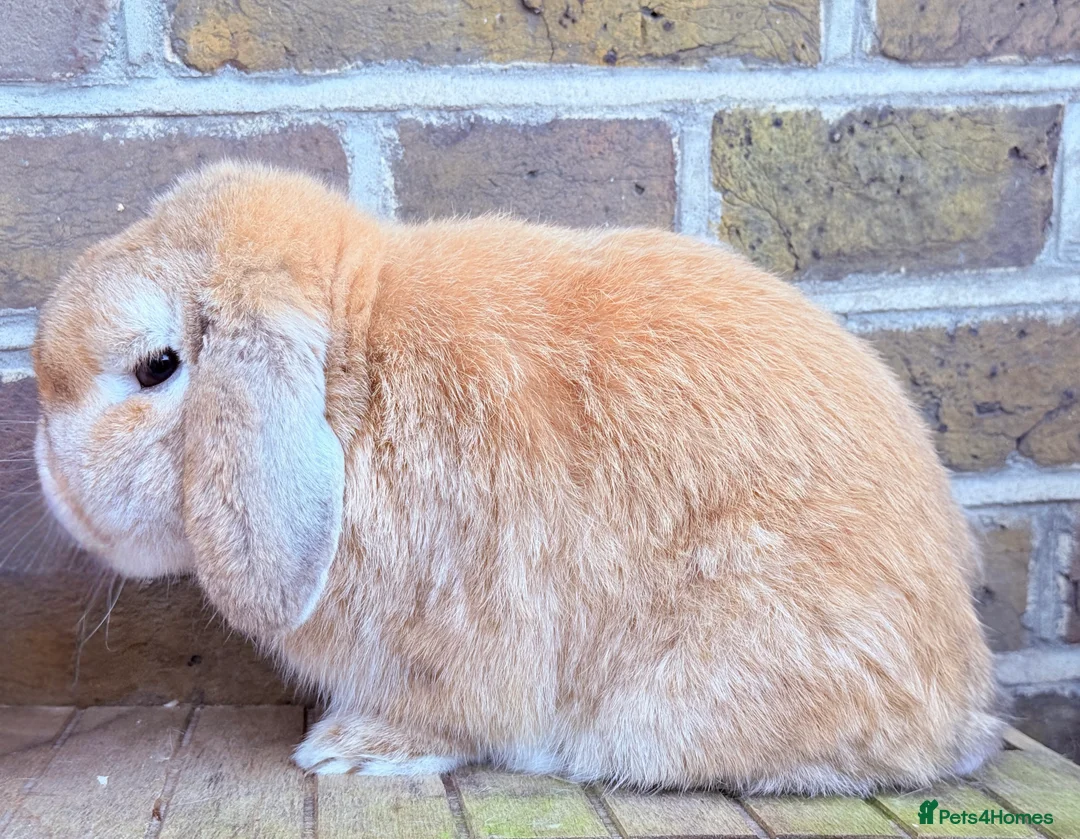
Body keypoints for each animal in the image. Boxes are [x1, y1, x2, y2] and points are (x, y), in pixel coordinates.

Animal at [32, 161, 1002, 794]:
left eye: (156, 367)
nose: (43, 468)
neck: (351, 373)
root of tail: (960, 692)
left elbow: (449, 716)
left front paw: (350, 750)